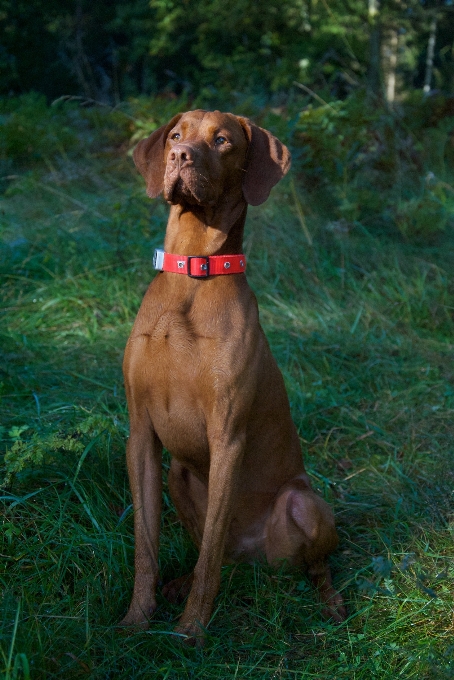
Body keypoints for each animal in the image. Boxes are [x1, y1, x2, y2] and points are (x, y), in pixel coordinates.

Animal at [119, 110, 346, 644]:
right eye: (176, 136)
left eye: (222, 140)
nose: (179, 156)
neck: (192, 274)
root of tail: (255, 560)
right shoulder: (140, 435)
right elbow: (146, 548)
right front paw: (137, 619)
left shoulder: (227, 437)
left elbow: (209, 556)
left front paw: (191, 630)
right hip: (179, 474)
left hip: (303, 504)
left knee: (312, 565)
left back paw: (331, 604)